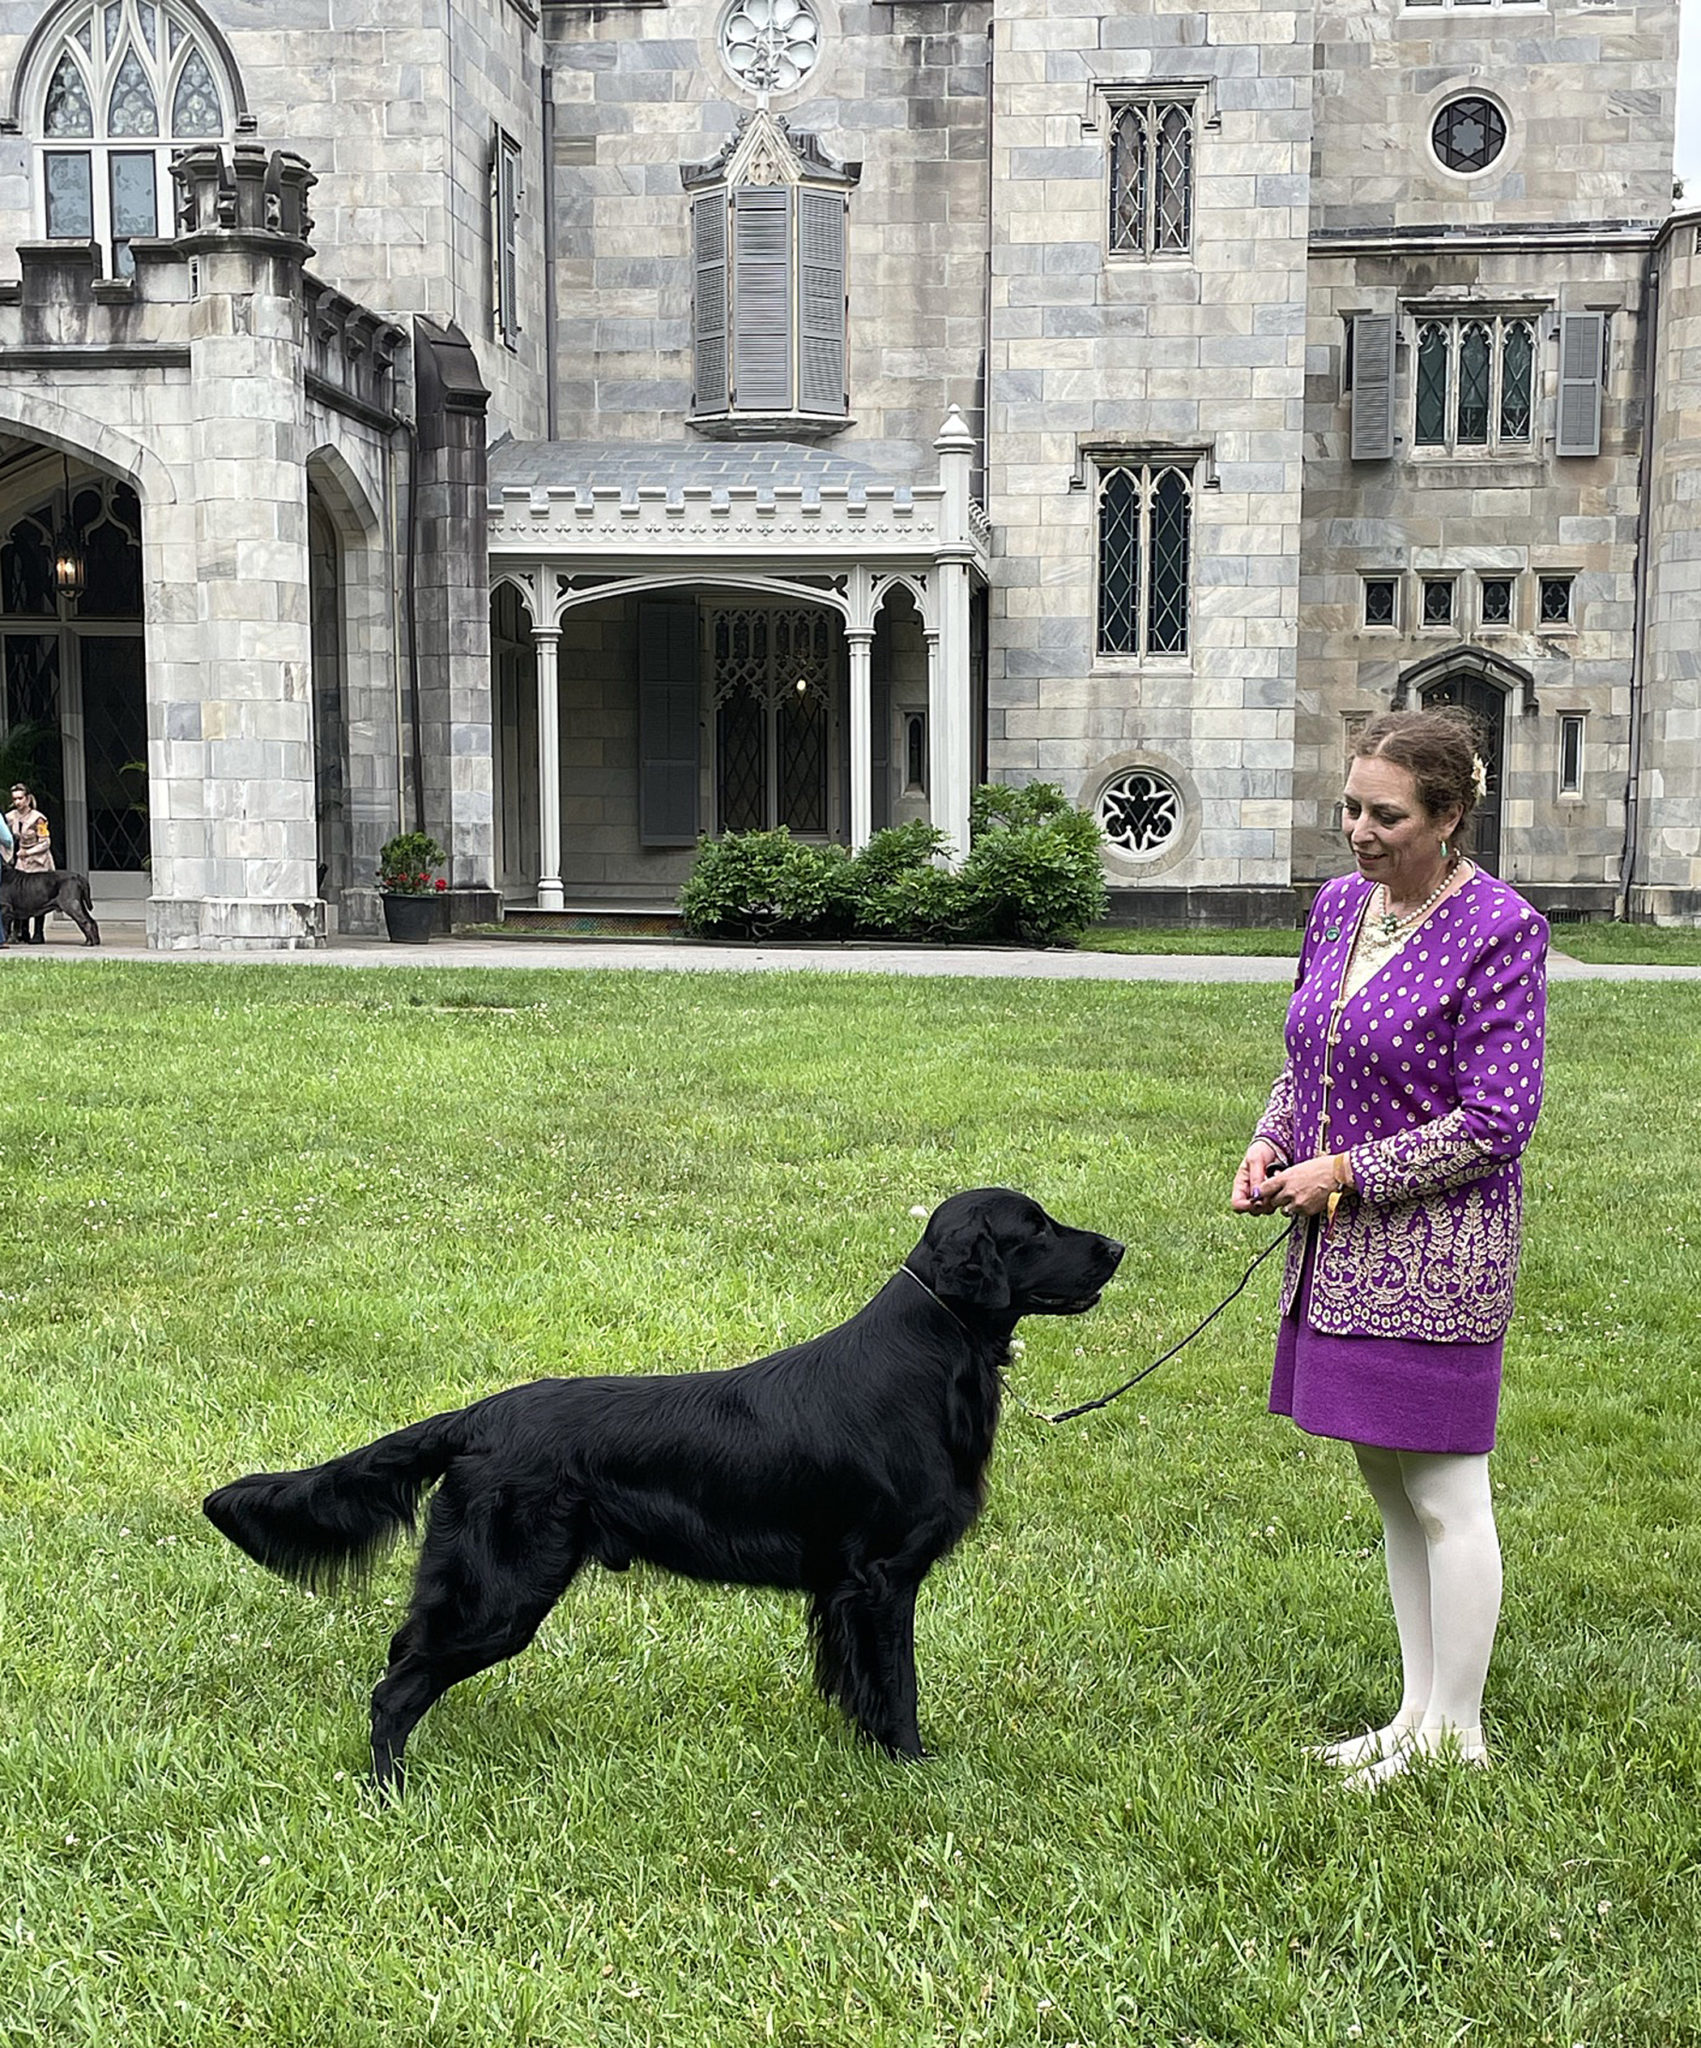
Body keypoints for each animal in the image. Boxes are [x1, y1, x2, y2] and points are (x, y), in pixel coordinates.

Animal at [206, 1187, 1121, 1794]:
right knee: (394, 1685)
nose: (1116, 1248)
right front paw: (911, 1765)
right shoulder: (884, 1577)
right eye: (1036, 1229)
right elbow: (897, 1684)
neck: (932, 1354)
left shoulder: (843, 1589)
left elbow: (856, 1682)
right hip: (502, 1590)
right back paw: (390, 1789)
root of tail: (479, 1416)